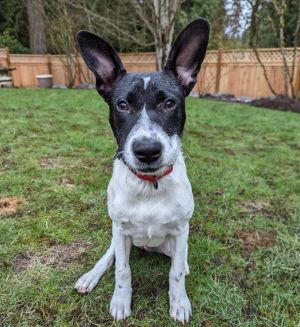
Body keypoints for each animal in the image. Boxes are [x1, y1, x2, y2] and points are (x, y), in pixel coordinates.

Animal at [74, 18, 210, 322]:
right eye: (122, 105)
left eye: (169, 103)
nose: (147, 150)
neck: (150, 184)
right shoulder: (121, 230)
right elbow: (122, 270)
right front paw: (120, 301)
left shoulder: (180, 230)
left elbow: (175, 274)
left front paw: (179, 302)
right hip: (118, 236)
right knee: (110, 256)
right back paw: (91, 276)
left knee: (179, 261)